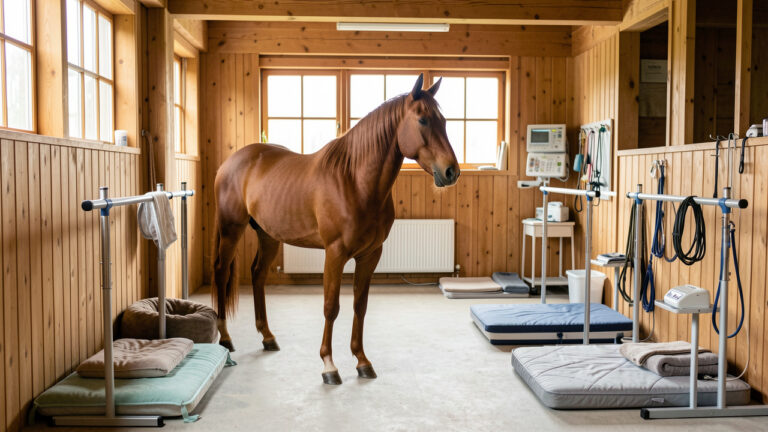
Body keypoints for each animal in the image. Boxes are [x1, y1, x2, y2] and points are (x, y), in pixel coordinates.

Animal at [211, 74, 460, 385]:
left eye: (444, 121)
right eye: (423, 120)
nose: (451, 171)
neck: (354, 181)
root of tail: (232, 162)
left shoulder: (370, 255)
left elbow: (359, 306)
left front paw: (362, 361)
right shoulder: (335, 253)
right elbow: (331, 306)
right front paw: (329, 365)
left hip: (268, 235)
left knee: (257, 274)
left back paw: (267, 337)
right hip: (231, 229)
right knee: (221, 272)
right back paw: (225, 338)